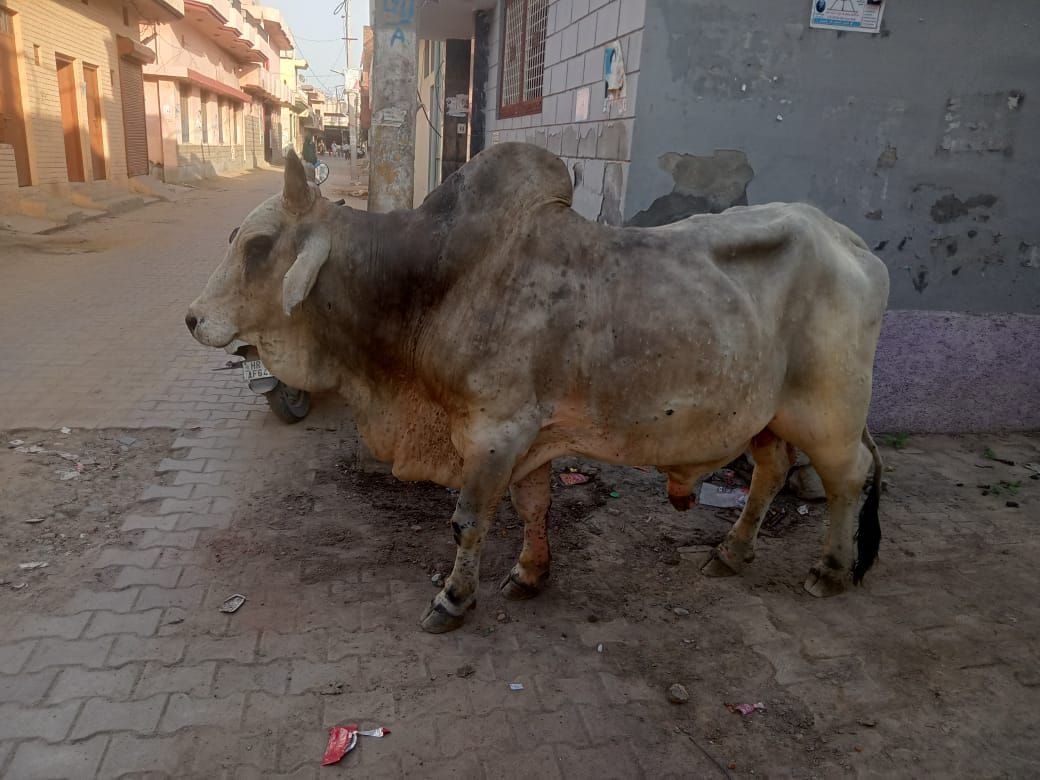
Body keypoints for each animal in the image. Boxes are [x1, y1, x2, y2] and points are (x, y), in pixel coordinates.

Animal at [186, 144, 890, 634]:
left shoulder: (495, 431)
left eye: (258, 245)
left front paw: (452, 599)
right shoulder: (527, 438)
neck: (432, 283)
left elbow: (468, 519)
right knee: (772, 469)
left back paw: (831, 569)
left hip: (828, 413)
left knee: (851, 476)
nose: (193, 319)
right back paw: (731, 551)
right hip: (765, 417)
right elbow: (533, 508)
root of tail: (854, 244)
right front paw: (529, 573)